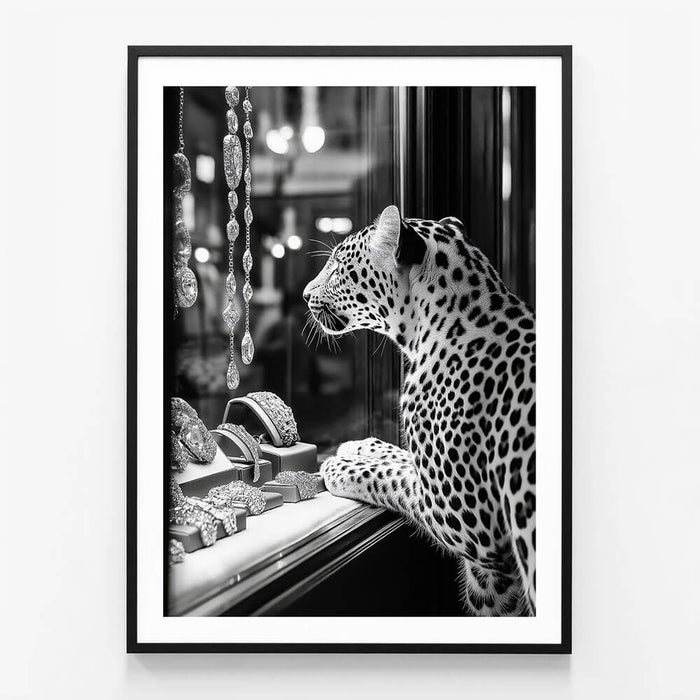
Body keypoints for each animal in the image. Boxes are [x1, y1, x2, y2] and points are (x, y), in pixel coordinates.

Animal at [303, 205, 536, 617]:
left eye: (336, 267)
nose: (304, 295)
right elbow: (402, 457)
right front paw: (362, 446)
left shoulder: (466, 521)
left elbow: (389, 476)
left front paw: (340, 465)